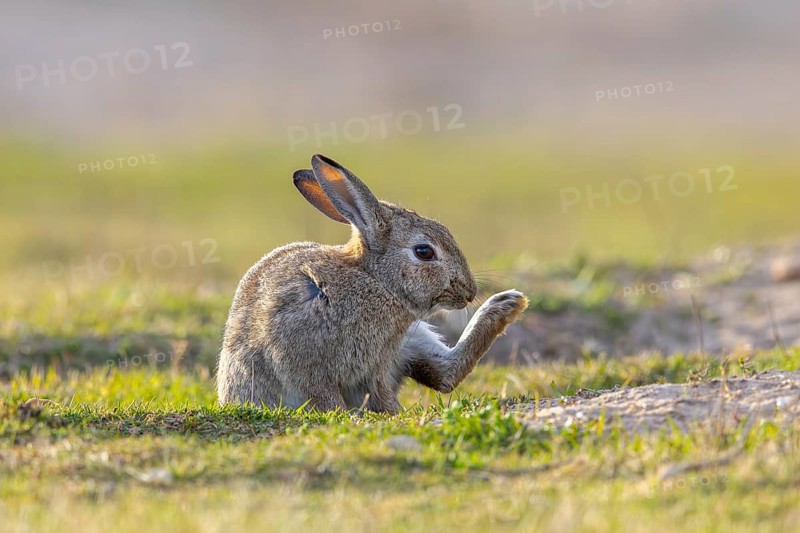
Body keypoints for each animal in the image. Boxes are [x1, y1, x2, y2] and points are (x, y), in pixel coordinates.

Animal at [216, 154, 528, 413]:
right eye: (424, 252)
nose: (469, 292)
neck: (376, 280)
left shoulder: (383, 358)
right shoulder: (307, 362)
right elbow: (327, 396)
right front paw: (379, 414)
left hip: (413, 338)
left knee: (446, 373)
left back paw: (507, 304)